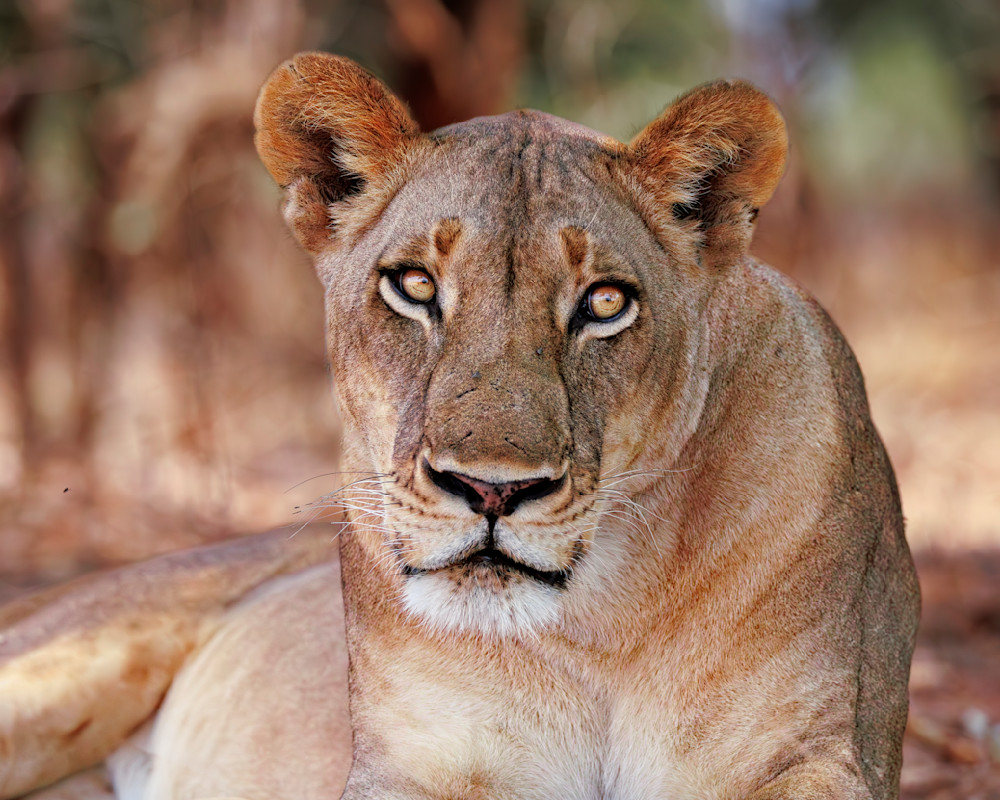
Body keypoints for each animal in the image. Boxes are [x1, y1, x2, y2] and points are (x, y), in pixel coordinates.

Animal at [1, 52, 919, 800]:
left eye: (605, 302)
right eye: (414, 286)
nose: (489, 490)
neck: (601, 623)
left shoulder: (816, 753)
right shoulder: (415, 764)